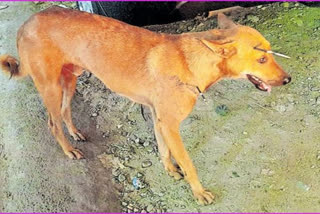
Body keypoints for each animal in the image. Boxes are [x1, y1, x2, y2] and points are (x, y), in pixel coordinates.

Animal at [0, 6, 292, 204]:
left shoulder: (158, 117)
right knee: (52, 122)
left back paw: (75, 134)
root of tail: (27, 22)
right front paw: (199, 192)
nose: (288, 79)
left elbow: (164, 150)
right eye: (261, 59)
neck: (190, 63)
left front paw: (170, 170)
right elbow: (189, 163)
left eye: (270, 53)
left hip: (71, 78)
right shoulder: (171, 124)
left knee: (64, 111)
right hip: (50, 86)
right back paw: (69, 149)